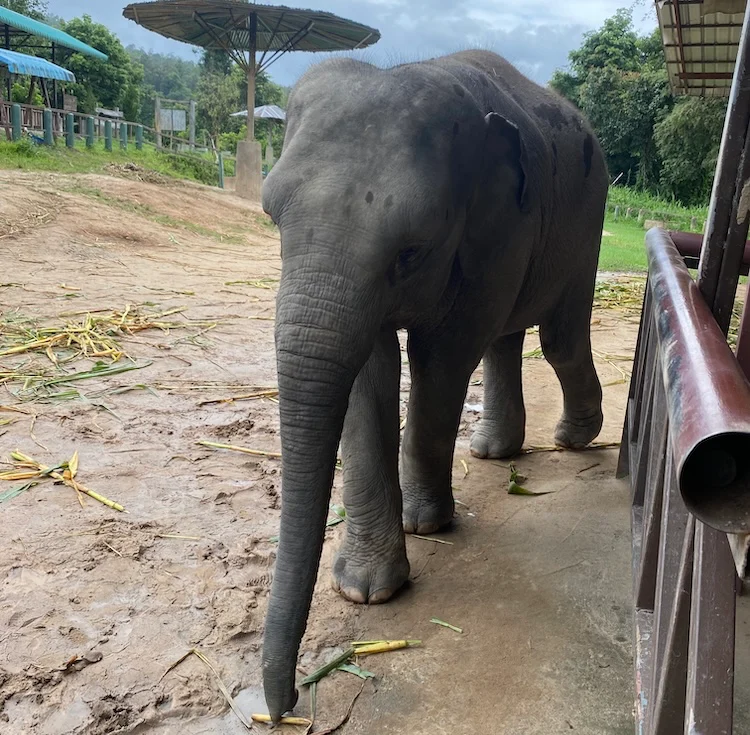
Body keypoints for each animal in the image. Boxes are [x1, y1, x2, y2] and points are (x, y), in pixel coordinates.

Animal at [259, 49, 608, 720]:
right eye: (271, 217)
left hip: (587, 218)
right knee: (509, 336)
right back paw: (493, 452)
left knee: (559, 335)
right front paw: (365, 591)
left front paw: (426, 525)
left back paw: (575, 439)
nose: (286, 706)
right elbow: (368, 372)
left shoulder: (496, 230)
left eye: (411, 250)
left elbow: (441, 358)